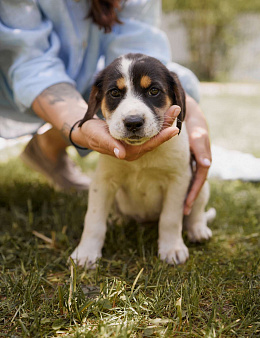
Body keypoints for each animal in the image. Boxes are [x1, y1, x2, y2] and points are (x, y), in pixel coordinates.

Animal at [70, 54, 212, 268]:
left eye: (153, 91)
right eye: (114, 93)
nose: (133, 122)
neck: (142, 157)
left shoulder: (178, 180)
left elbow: (171, 219)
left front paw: (172, 249)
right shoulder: (102, 182)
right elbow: (94, 220)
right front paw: (86, 253)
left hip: (200, 186)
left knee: (196, 213)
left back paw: (198, 230)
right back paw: (118, 221)